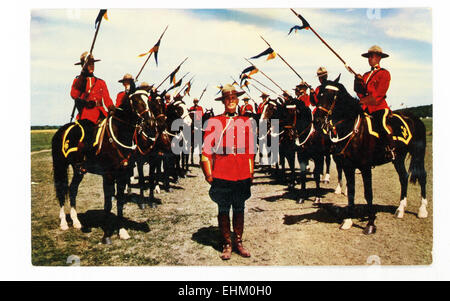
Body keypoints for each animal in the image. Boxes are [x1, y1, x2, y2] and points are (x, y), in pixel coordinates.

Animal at [51, 88, 155, 243]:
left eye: (148, 100)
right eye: (136, 100)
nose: (150, 123)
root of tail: (60, 130)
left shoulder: (122, 175)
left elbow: (119, 202)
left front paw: (122, 231)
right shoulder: (109, 175)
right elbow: (108, 204)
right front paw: (106, 235)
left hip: (78, 169)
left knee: (73, 189)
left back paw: (76, 222)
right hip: (60, 166)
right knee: (62, 190)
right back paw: (64, 222)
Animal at [314, 78, 428, 233]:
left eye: (333, 95)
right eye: (319, 94)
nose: (317, 121)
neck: (353, 129)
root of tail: (414, 118)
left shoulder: (365, 167)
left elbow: (368, 194)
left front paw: (370, 224)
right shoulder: (348, 167)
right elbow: (351, 192)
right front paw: (348, 221)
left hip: (418, 154)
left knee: (422, 176)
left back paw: (422, 210)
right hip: (398, 157)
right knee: (403, 177)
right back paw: (400, 209)